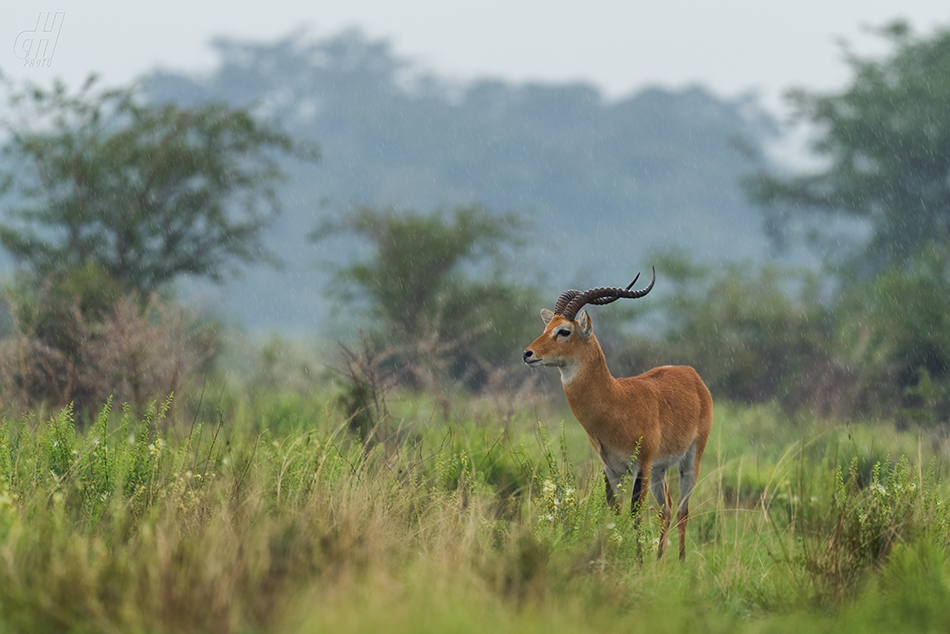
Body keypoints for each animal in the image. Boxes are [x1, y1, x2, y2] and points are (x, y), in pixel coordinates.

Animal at [520, 268, 712, 556]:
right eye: (546, 327)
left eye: (564, 331)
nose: (527, 354)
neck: (616, 401)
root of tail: (691, 374)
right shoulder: (610, 468)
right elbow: (615, 514)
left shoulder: (640, 465)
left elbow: (634, 517)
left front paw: (637, 561)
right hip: (659, 470)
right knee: (665, 508)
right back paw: (659, 561)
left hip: (689, 460)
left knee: (682, 510)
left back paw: (680, 562)